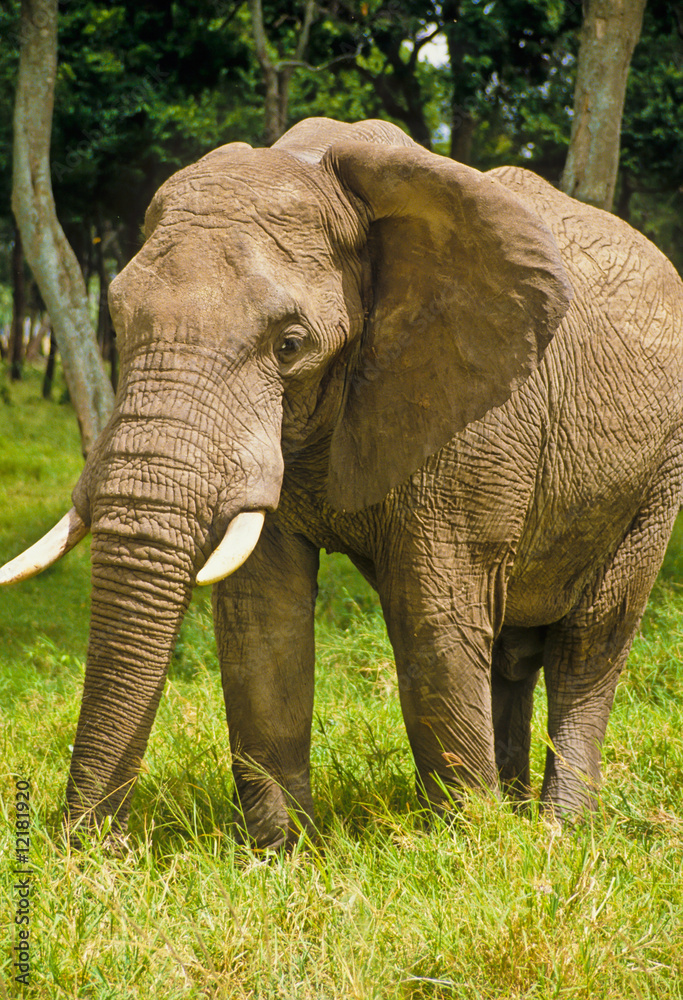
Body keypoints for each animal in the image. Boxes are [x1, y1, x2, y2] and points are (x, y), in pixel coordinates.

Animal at [2, 117, 682, 850]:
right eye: (118, 323)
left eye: (290, 345)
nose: (95, 846)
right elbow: (261, 619)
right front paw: (283, 854)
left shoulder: (472, 412)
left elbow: (432, 614)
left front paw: (465, 845)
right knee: (511, 652)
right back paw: (519, 808)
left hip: (656, 474)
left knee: (590, 642)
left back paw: (557, 831)